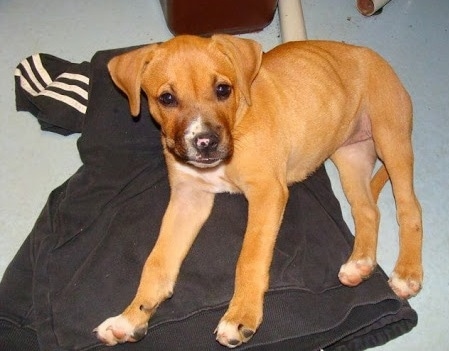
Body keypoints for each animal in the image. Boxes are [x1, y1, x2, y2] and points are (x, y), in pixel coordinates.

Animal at [93, 34, 422, 348]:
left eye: (223, 89)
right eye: (167, 98)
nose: (205, 142)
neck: (237, 122)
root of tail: (367, 52)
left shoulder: (267, 192)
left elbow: (249, 258)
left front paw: (241, 315)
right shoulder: (189, 199)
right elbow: (157, 263)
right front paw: (130, 317)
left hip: (390, 138)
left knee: (409, 208)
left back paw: (407, 273)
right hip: (350, 155)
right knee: (366, 211)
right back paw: (359, 264)